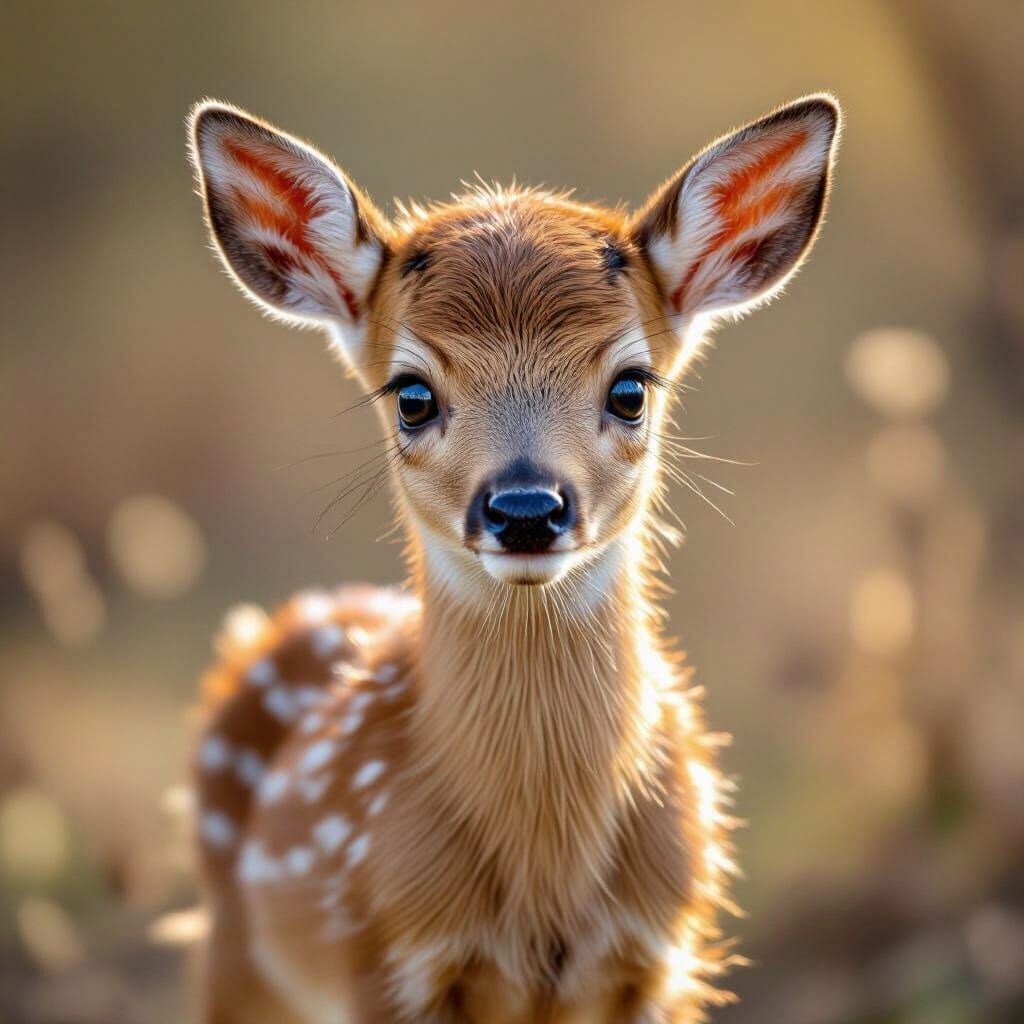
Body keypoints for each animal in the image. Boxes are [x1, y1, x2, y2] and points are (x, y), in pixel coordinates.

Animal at [187, 93, 839, 1023]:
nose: (526, 510)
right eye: (412, 394)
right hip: (236, 954)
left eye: (630, 387)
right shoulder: (382, 959)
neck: (545, 877)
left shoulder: (663, 952)